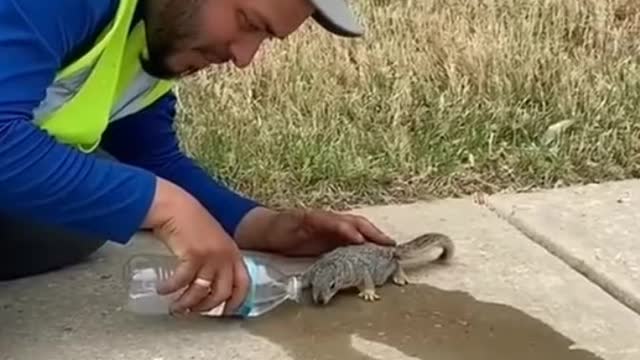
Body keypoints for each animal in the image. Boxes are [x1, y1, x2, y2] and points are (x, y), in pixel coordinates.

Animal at [300, 232, 456, 306]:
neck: (332, 264)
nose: (320, 301)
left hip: (383, 269)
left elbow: (367, 278)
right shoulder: (311, 272)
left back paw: (399, 276)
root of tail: (389, 250)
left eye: (332, 286)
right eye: (313, 285)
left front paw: (369, 292)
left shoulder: (357, 271)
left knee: (396, 264)